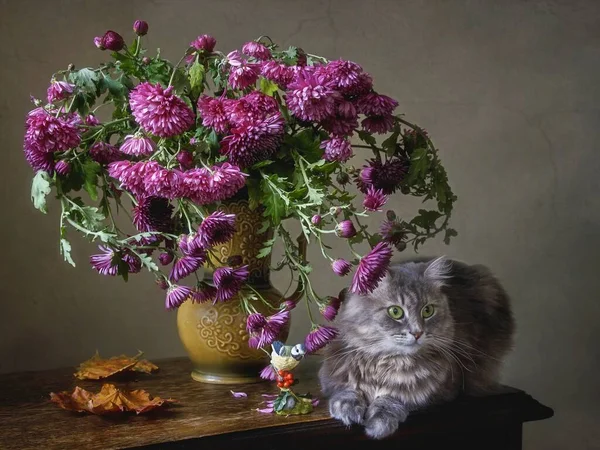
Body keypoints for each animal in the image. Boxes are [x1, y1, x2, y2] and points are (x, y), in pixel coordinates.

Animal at [318, 256, 516, 440]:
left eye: (428, 311)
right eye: (395, 312)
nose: (418, 332)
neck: (388, 362)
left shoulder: (440, 389)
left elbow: (394, 397)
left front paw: (380, 420)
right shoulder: (333, 370)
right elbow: (346, 389)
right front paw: (347, 408)